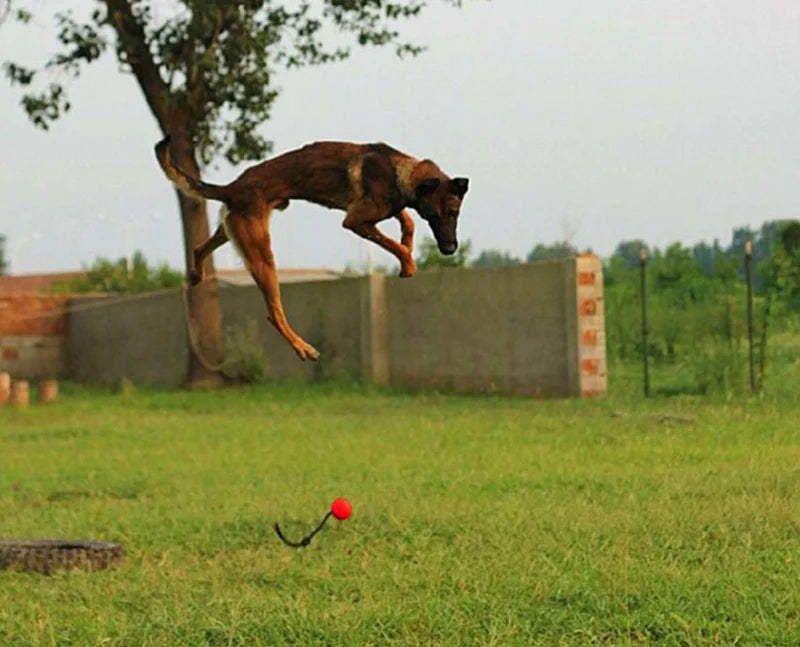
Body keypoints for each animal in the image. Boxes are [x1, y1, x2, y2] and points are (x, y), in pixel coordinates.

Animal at [155, 137, 468, 362]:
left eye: (454, 213)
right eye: (435, 215)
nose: (450, 248)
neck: (399, 171)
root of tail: (231, 188)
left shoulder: (382, 211)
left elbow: (407, 222)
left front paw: (407, 242)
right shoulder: (355, 220)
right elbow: (395, 242)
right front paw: (409, 263)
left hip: (233, 230)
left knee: (199, 247)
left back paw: (196, 274)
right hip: (261, 253)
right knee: (274, 312)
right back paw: (303, 348)